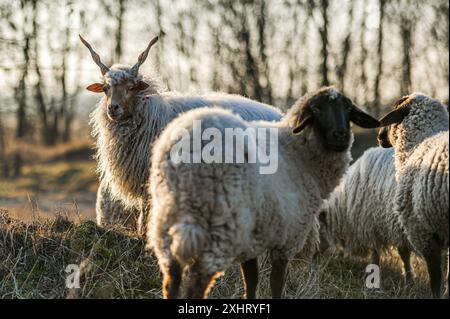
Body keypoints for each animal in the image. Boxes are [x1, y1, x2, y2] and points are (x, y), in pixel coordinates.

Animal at [148, 87, 380, 300]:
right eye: (316, 109)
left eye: (348, 108)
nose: (341, 136)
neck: (298, 153)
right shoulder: (287, 238)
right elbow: (276, 285)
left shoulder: (252, 238)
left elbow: (251, 282)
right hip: (222, 226)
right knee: (197, 284)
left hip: (168, 219)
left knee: (172, 280)